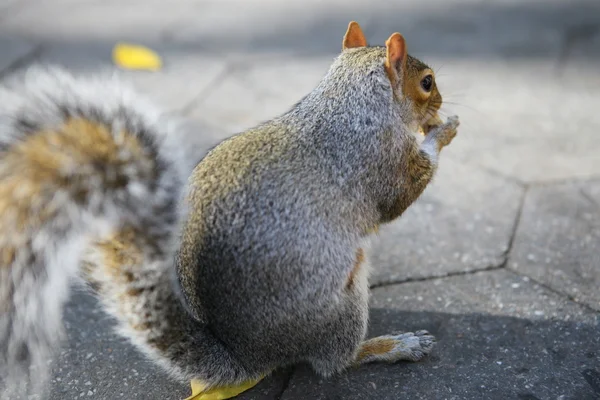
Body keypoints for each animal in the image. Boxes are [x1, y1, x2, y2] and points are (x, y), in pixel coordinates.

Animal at [0, 21, 460, 400]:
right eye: (427, 82)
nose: (439, 104)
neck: (348, 103)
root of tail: (247, 356)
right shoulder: (376, 164)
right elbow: (399, 197)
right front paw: (442, 131)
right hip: (341, 297)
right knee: (336, 361)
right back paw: (390, 345)